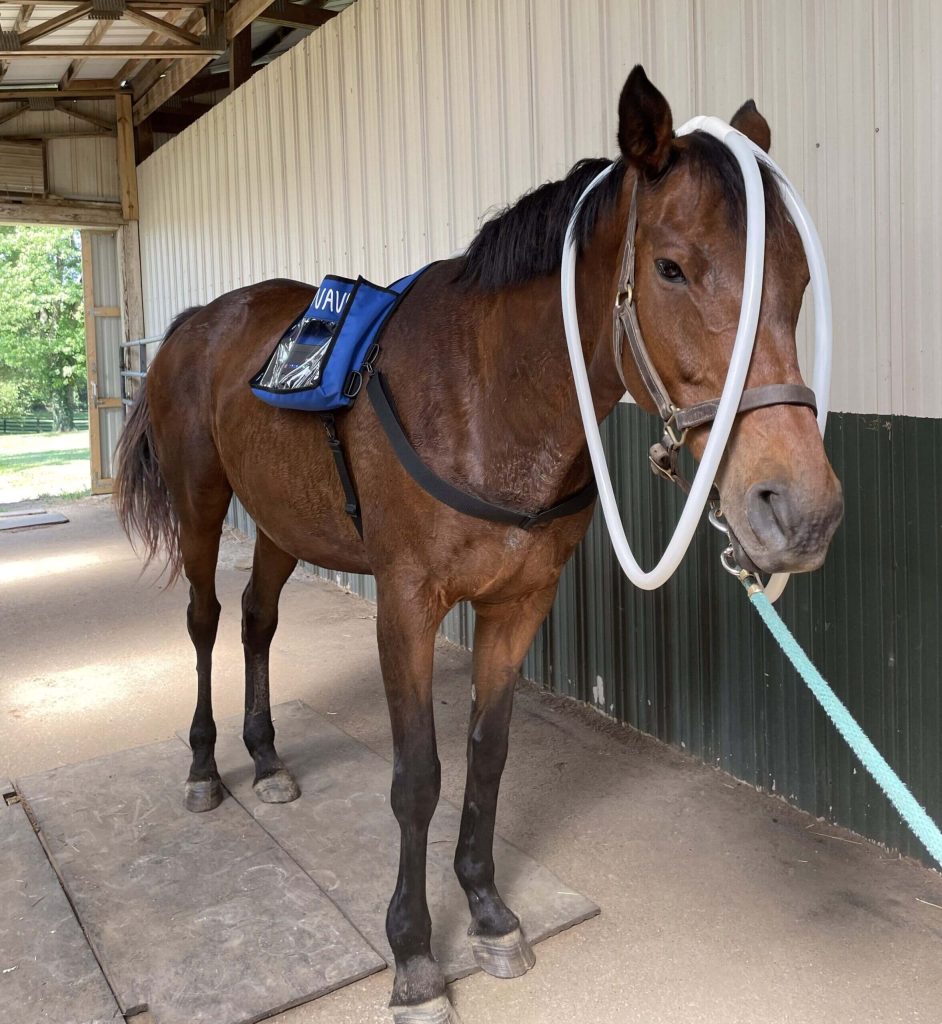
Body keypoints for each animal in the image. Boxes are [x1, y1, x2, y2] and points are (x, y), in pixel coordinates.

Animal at [114, 66, 843, 1023]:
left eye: (796, 275)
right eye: (671, 267)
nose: (798, 511)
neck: (484, 397)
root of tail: (198, 322)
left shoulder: (520, 603)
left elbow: (487, 756)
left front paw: (490, 911)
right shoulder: (406, 607)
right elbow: (418, 775)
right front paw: (415, 952)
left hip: (278, 524)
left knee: (256, 621)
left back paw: (267, 755)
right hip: (205, 510)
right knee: (203, 623)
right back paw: (206, 767)